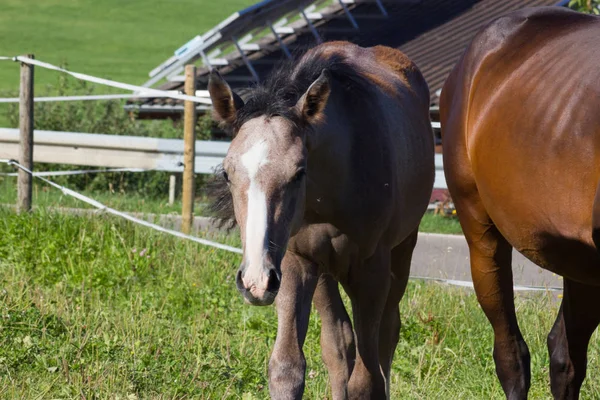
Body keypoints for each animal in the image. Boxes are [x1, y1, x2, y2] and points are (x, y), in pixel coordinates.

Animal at [209, 42, 434, 398]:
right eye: (227, 174)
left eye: (299, 172)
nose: (254, 281)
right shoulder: (293, 263)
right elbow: (287, 367)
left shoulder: (371, 272)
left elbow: (366, 380)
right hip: (324, 270)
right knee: (339, 343)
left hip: (401, 252)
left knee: (387, 335)